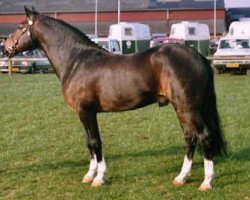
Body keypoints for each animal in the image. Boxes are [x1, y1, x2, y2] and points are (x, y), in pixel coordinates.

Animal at [3, 7, 227, 190]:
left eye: (19, 26)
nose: (5, 48)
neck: (76, 61)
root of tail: (199, 56)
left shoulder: (87, 111)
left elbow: (95, 142)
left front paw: (99, 178)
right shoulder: (84, 113)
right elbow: (89, 142)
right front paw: (89, 174)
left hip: (189, 108)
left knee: (204, 137)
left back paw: (206, 182)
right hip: (180, 108)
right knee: (190, 137)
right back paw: (181, 177)